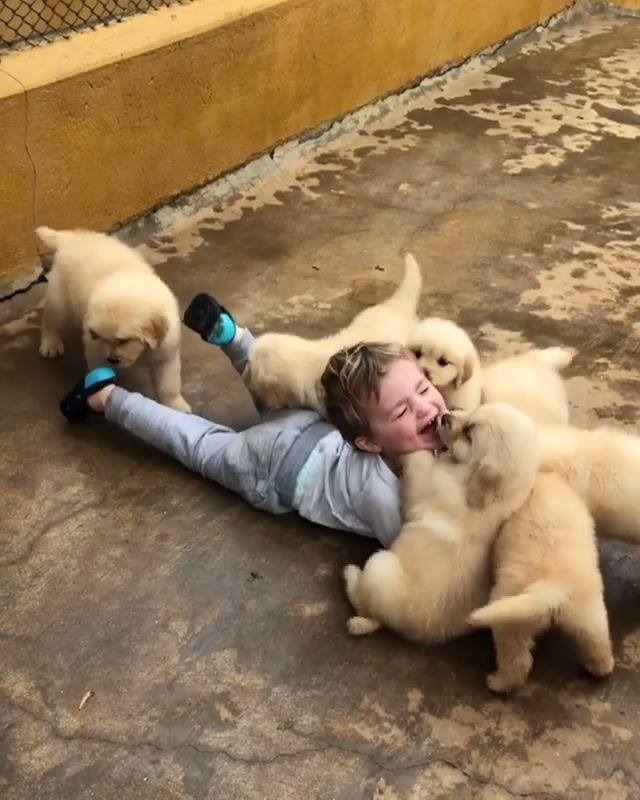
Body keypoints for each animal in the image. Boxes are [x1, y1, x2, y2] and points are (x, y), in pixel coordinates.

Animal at [36, 225, 190, 412]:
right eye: (101, 337)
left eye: (125, 340)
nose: (112, 359)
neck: (143, 351)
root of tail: (72, 239)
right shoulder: (94, 347)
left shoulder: (166, 354)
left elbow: (169, 385)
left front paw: (176, 405)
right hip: (60, 301)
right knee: (50, 321)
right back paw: (50, 345)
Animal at [342, 404, 536, 648]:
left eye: (469, 433)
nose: (444, 417)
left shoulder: (422, 492)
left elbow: (420, 460)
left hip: (380, 565)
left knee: (368, 609)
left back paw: (352, 580)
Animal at [468, 472, 612, 692]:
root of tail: (553, 589)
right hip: (589, 613)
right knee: (596, 640)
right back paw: (602, 667)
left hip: (510, 621)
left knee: (517, 662)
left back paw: (498, 683)